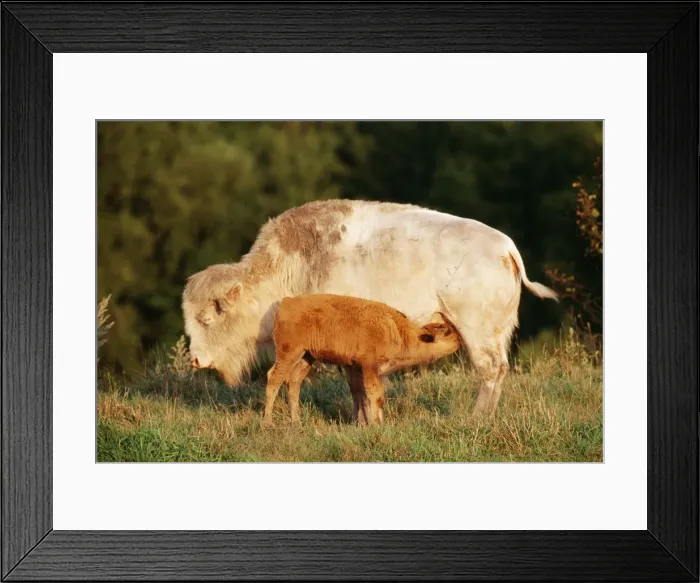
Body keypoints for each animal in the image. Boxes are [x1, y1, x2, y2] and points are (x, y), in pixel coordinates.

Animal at [262, 294, 462, 425]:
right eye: (446, 330)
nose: (460, 338)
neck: (397, 331)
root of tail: (287, 301)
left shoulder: (358, 369)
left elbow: (363, 395)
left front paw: (366, 423)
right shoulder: (368, 367)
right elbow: (374, 395)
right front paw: (375, 425)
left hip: (306, 357)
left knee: (293, 382)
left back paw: (296, 421)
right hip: (288, 354)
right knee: (274, 379)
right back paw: (268, 422)